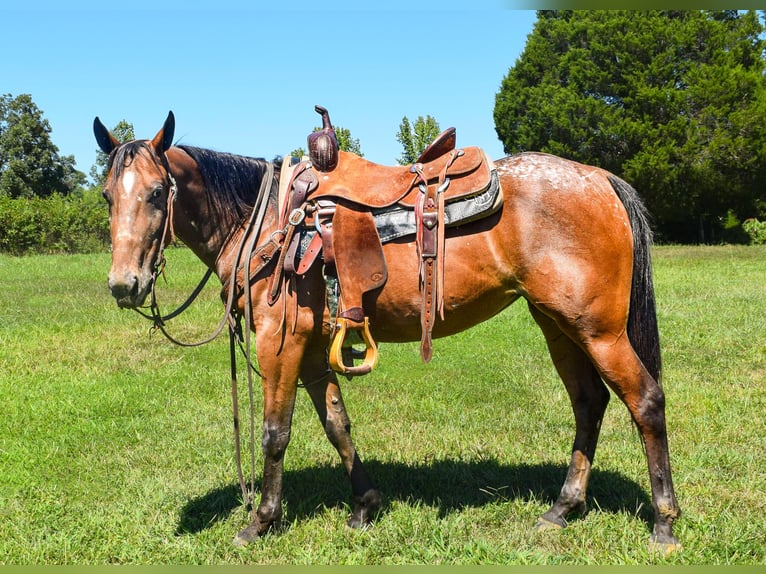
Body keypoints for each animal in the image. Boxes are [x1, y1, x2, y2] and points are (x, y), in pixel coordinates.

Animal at [91, 110, 684, 556]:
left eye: (157, 192)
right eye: (107, 196)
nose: (125, 285)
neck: (264, 224)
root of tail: (600, 178)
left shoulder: (279, 343)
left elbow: (275, 433)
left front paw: (260, 521)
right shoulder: (312, 350)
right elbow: (336, 423)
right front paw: (364, 507)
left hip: (599, 330)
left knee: (645, 401)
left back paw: (664, 523)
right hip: (558, 325)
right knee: (589, 403)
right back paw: (562, 508)